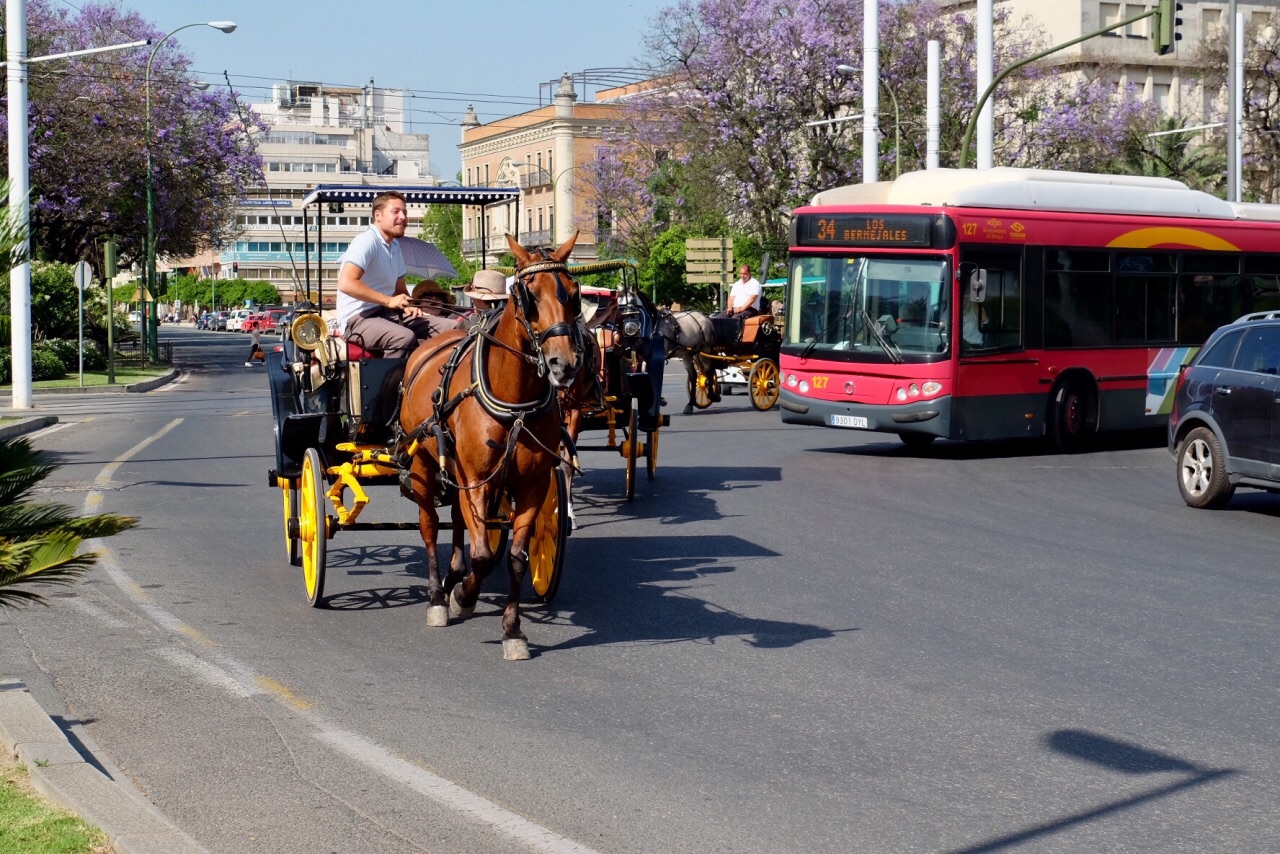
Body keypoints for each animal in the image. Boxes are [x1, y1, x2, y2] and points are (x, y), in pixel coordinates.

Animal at [396, 234, 583, 660]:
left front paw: (513, 630)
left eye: (574, 293)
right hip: (424, 465)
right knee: (430, 525)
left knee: (458, 521)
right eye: (528, 295)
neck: (515, 403)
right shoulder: (476, 479)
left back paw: (452, 576)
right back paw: (437, 595)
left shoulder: (532, 485)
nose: (563, 364)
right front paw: (463, 597)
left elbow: (515, 557)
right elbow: (481, 555)